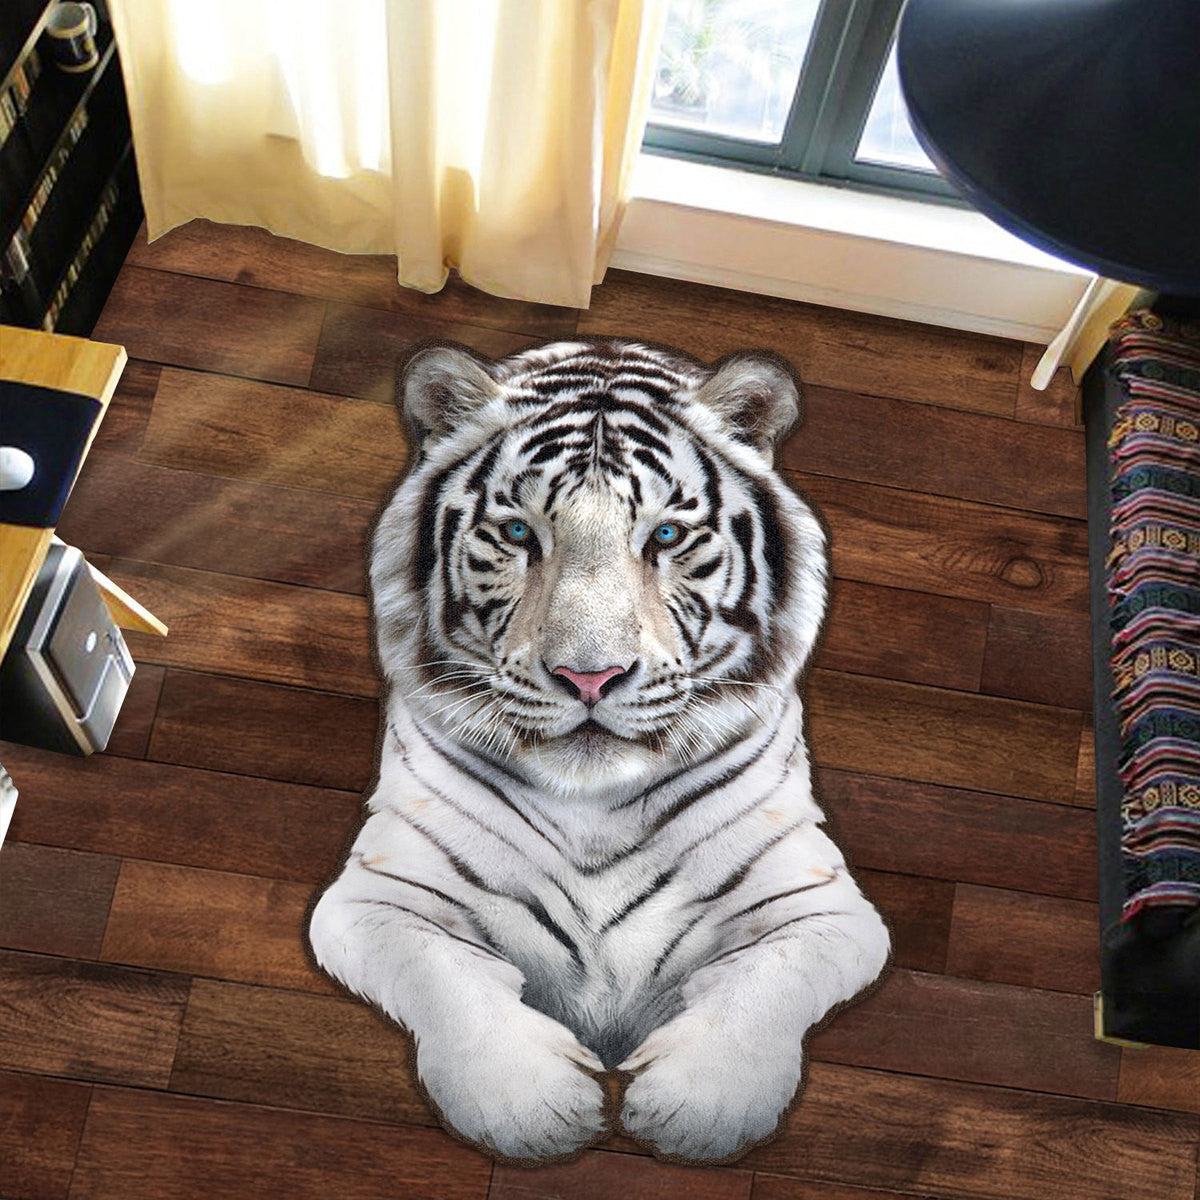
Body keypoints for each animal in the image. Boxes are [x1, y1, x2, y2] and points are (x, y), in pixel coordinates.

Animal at [307, 337, 891, 1163]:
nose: (590, 676)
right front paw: (532, 1109)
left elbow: (767, 982)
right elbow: (445, 978)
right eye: (519, 534)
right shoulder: (377, 898)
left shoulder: (820, 906)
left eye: (667, 537)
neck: (594, 807)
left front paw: (698, 1109)